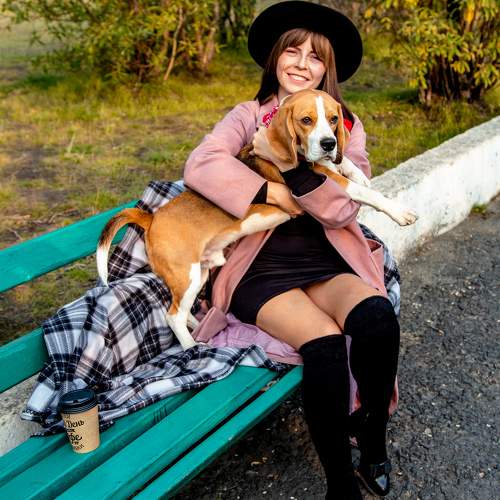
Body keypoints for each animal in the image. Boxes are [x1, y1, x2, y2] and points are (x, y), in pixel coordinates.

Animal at [96, 89, 417, 350]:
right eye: (306, 120)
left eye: (334, 119)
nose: (328, 143)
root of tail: (151, 217)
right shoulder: (326, 180)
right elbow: (364, 192)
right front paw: (399, 212)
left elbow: (350, 169)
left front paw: (357, 170)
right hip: (186, 274)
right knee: (172, 315)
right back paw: (192, 347)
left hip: (199, 272)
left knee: (182, 311)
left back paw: (200, 326)